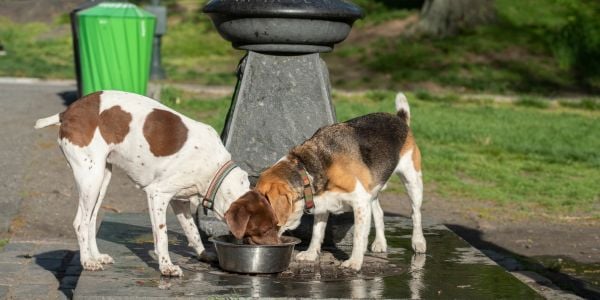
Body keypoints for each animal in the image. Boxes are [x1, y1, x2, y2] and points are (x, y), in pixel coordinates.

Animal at [36, 91, 280, 276]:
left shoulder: (180, 201)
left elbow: (192, 231)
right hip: (90, 178)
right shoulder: (157, 194)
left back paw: (96, 256)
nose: (277, 247)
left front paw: (203, 254)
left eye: (277, 226)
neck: (214, 169)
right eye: (265, 229)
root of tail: (67, 112)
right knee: (80, 222)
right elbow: (162, 236)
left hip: (102, 178)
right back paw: (87, 261)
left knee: (91, 220)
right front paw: (166, 267)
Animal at [225, 93, 426, 270]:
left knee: (415, 213)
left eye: (267, 222)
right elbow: (317, 233)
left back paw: (418, 242)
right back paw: (380, 243)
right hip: (373, 190)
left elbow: (358, 236)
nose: (246, 241)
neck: (307, 168)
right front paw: (311, 254)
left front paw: (354, 262)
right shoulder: (323, 203)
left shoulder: (360, 202)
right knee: (379, 212)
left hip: (412, 181)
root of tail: (398, 119)